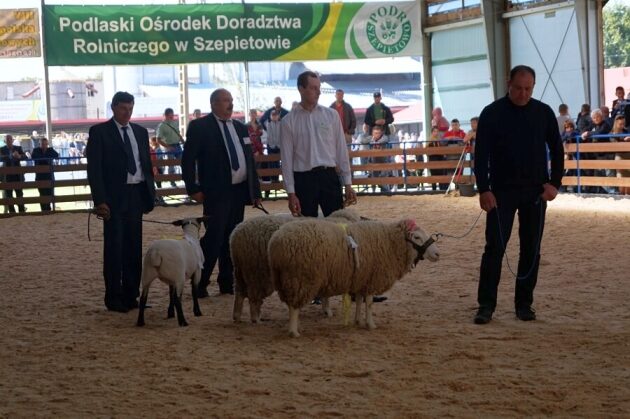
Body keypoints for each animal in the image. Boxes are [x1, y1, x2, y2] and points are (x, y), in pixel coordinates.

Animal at [230, 208, 362, 324]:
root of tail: (235, 236)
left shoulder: (327, 270)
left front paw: (326, 310)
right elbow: (326, 296)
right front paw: (327, 311)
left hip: (241, 271)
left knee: (239, 293)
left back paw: (237, 316)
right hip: (257, 272)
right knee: (253, 297)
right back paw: (256, 319)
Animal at [270, 218, 442, 336]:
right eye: (417, 237)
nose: (437, 254)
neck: (390, 243)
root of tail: (276, 242)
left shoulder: (362, 277)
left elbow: (359, 300)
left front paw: (358, 321)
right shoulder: (373, 278)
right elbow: (370, 303)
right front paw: (371, 324)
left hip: (286, 278)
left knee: (291, 304)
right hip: (300, 278)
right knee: (294, 307)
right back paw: (294, 332)